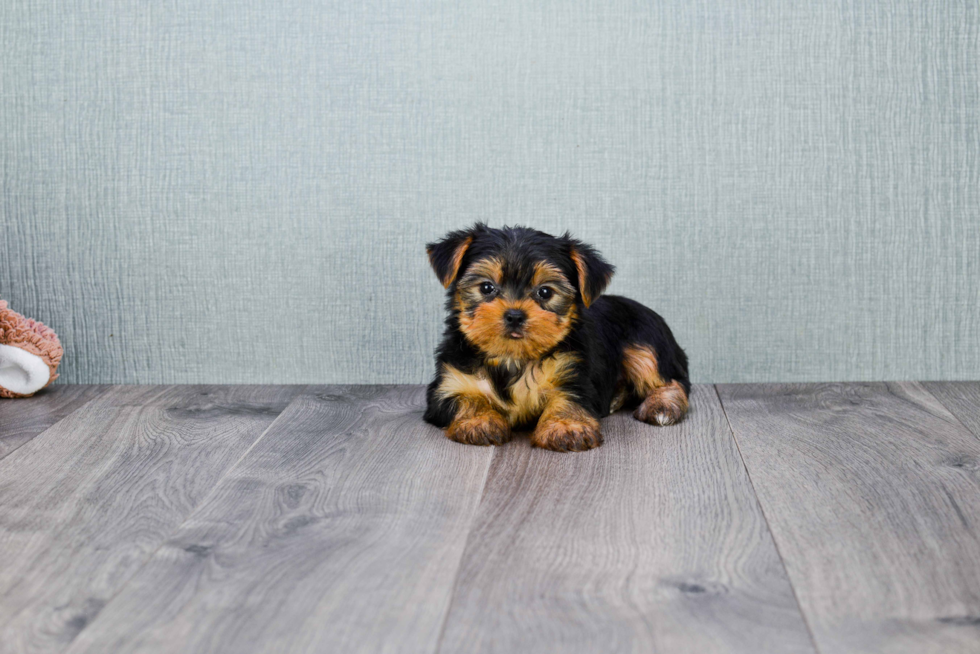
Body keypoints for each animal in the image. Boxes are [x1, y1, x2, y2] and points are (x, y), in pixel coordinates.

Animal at [422, 224, 688, 452]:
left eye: (545, 292)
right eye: (486, 288)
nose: (515, 315)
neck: (512, 358)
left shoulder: (573, 375)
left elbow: (568, 398)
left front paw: (566, 427)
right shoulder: (449, 383)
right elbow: (465, 398)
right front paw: (479, 421)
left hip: (644, 342)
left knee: (669, 379)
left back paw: (662, 406)